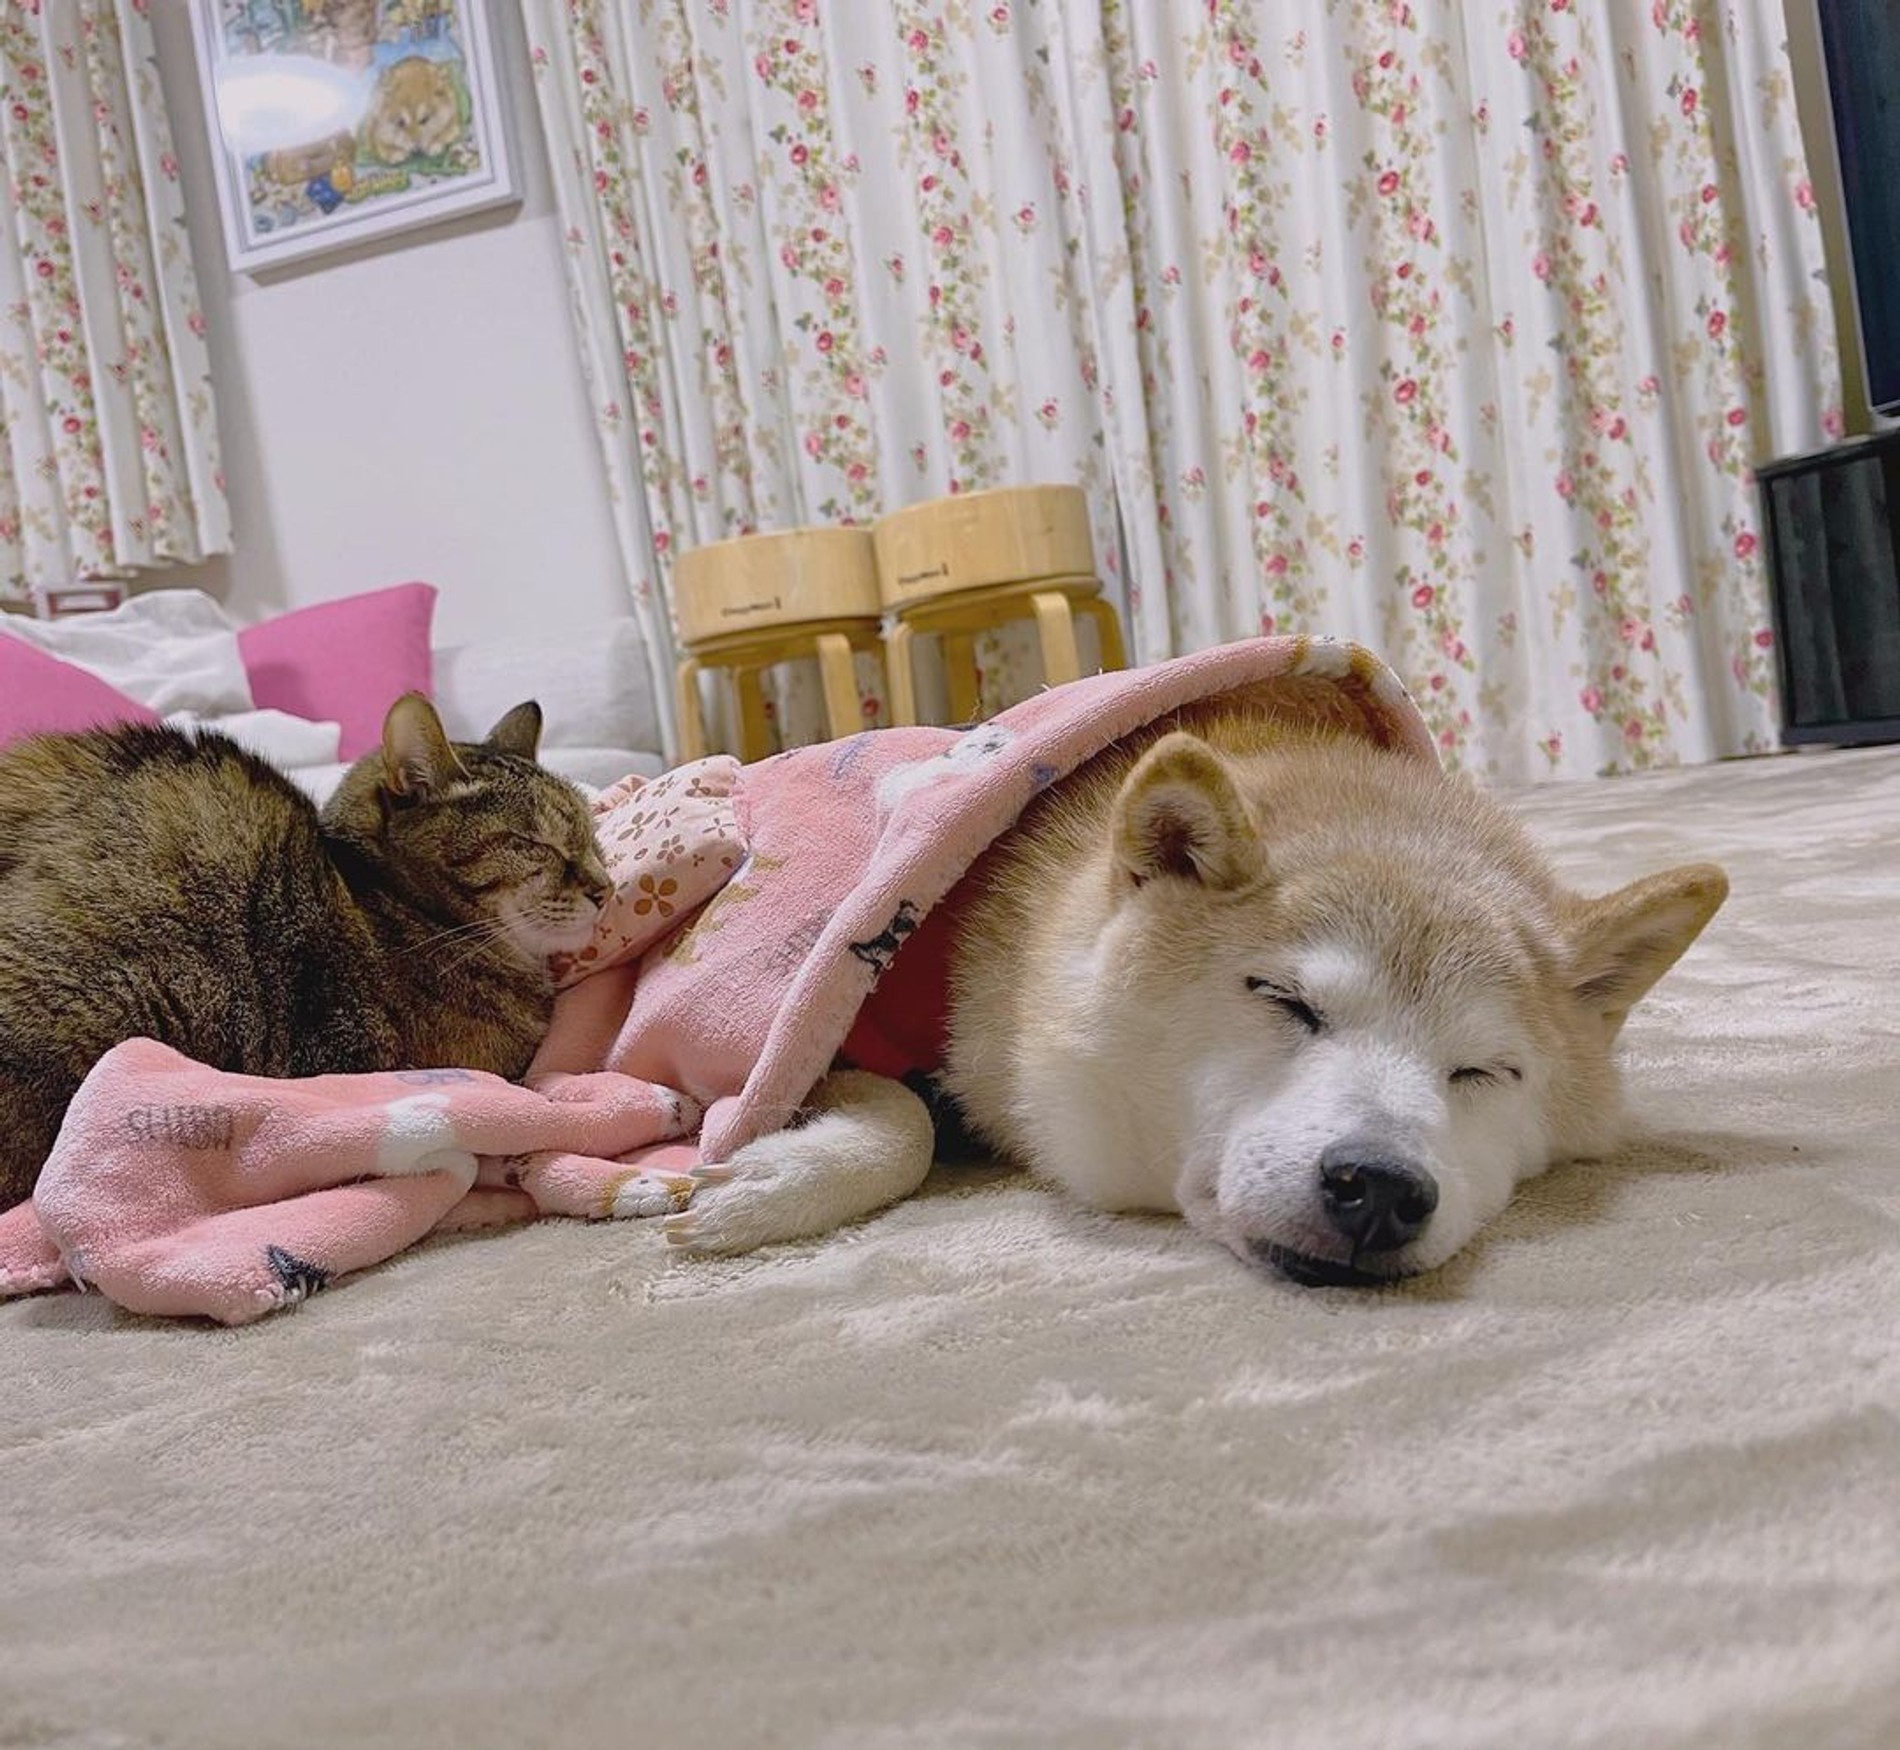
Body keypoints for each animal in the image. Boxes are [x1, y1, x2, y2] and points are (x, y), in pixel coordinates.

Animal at [659, 701, 1727, 1284]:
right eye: (1286, 1001)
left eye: (1485, 1072)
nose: (1381, 1187)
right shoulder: (860, 991)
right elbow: (901, 1121)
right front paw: (771, 1183)